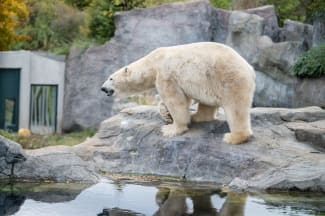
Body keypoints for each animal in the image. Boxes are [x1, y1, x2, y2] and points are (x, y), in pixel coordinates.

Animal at [102, 42, 256, 144]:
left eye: (110, 78)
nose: (103, 88)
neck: (153, 62)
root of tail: (250, 69)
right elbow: (183, 98)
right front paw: (165, 113)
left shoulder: (166, 74)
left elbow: (175, 100)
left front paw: (171, 129)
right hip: (209, 80)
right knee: (207, 103)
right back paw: (196, 116)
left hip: (228, 78)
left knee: (235, 108)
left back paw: (234, 137)